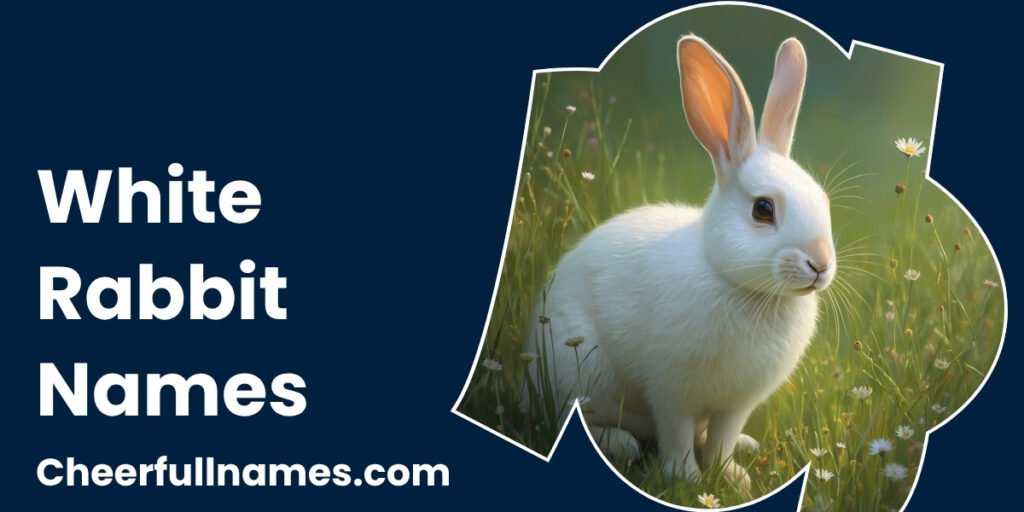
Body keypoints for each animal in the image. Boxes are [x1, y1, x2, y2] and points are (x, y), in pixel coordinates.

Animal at [522, 36, 834, 491]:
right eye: (763, 210)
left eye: (823, 201)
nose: (820, 265)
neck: (738, 285)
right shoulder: (672, 390)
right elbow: (677, 433)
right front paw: (686, 478)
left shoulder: (736, 403)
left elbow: (721, 437)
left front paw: (731, 477)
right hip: (578, 373)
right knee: (570, 416)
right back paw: (621, 445)